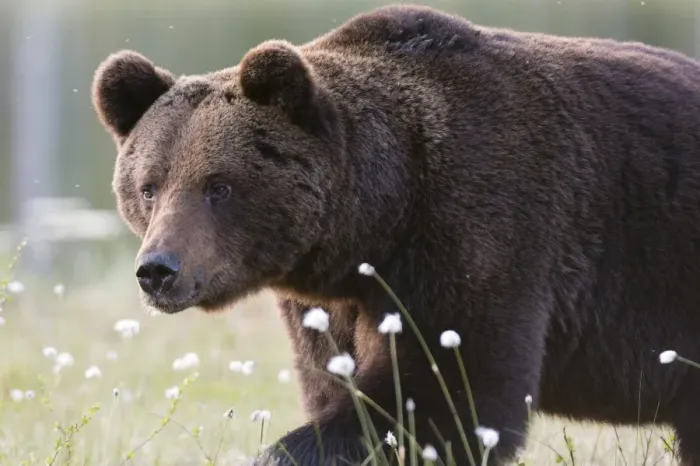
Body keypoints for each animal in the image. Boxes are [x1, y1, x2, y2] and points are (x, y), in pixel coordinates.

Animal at [90, 3, 700, 465]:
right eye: (149, 187)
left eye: (218, 185)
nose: (157, 270)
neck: (384, 215)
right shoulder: (330, 306)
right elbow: (337, 383)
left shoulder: (481, 232)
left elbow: (446, 396)